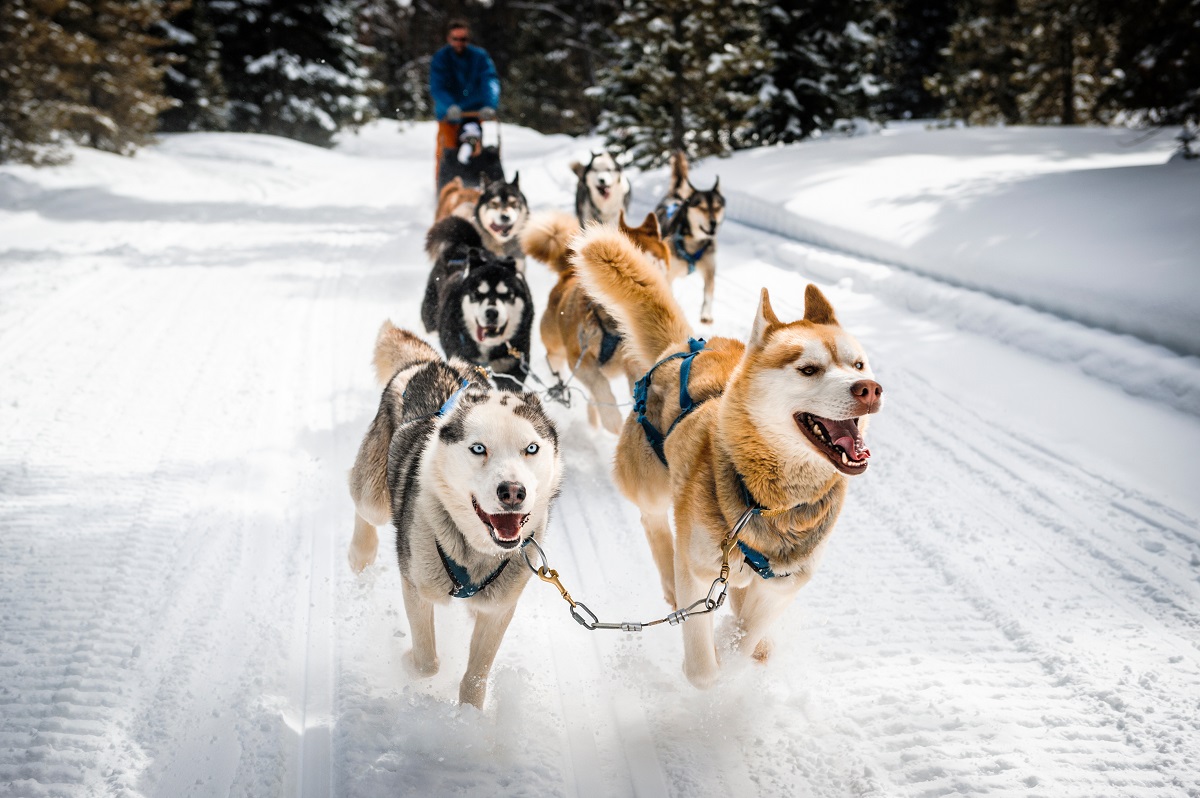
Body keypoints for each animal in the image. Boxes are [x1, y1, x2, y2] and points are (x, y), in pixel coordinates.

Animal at [348, 321, 561, 705]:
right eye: (478, 448)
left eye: (531, 449)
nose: (513, 491)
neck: (475, 552)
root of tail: (436, 362)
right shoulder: (416, 585)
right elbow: (426, 661)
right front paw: (408, 661)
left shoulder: (499, 608)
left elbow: (477, 674)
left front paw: (470, 714)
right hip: (374, 494)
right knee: (362, 503)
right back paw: (361, 554)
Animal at [566, 226, 888, 686]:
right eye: (809, 369)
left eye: (858, 364)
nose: (869, 388)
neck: (766, 503)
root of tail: (685, 346)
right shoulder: (699, 572)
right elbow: (704, 669)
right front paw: (716, 657)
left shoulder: (784, 583)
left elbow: (748, 631)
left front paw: (743, 642)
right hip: (650, 485)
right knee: (654, 524)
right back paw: (669, 576)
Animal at [657, 149, 720, 324]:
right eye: (702, 207)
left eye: (717, 207)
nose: (713, 223)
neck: (693, 241)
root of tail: (676, 195)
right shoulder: (668, 275)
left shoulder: (709, 269)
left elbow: (708, 293)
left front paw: (706, 314)